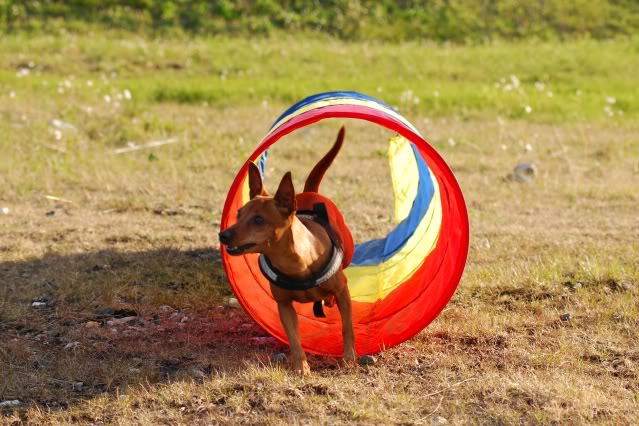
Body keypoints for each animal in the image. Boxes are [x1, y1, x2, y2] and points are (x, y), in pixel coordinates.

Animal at [220, 128, 356, 374]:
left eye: (258, 219)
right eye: (239, 214)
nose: (223, 235)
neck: (296, 264)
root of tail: (310, 192)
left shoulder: (343, 291)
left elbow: (347, 327)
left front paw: (349, 358)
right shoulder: (284, 306)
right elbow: (294, 339)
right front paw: (301, 367)